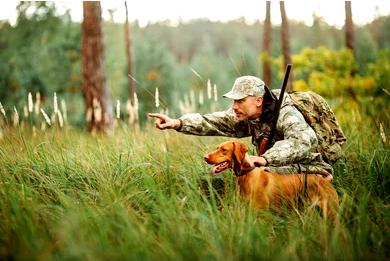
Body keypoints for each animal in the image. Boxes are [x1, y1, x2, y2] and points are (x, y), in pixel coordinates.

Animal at [204, 140, 338, 217]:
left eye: (223, 149)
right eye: (217, 147)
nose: (205, 157)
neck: (247, 174)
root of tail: (325, 181)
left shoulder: (261, 215)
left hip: (330, 213)